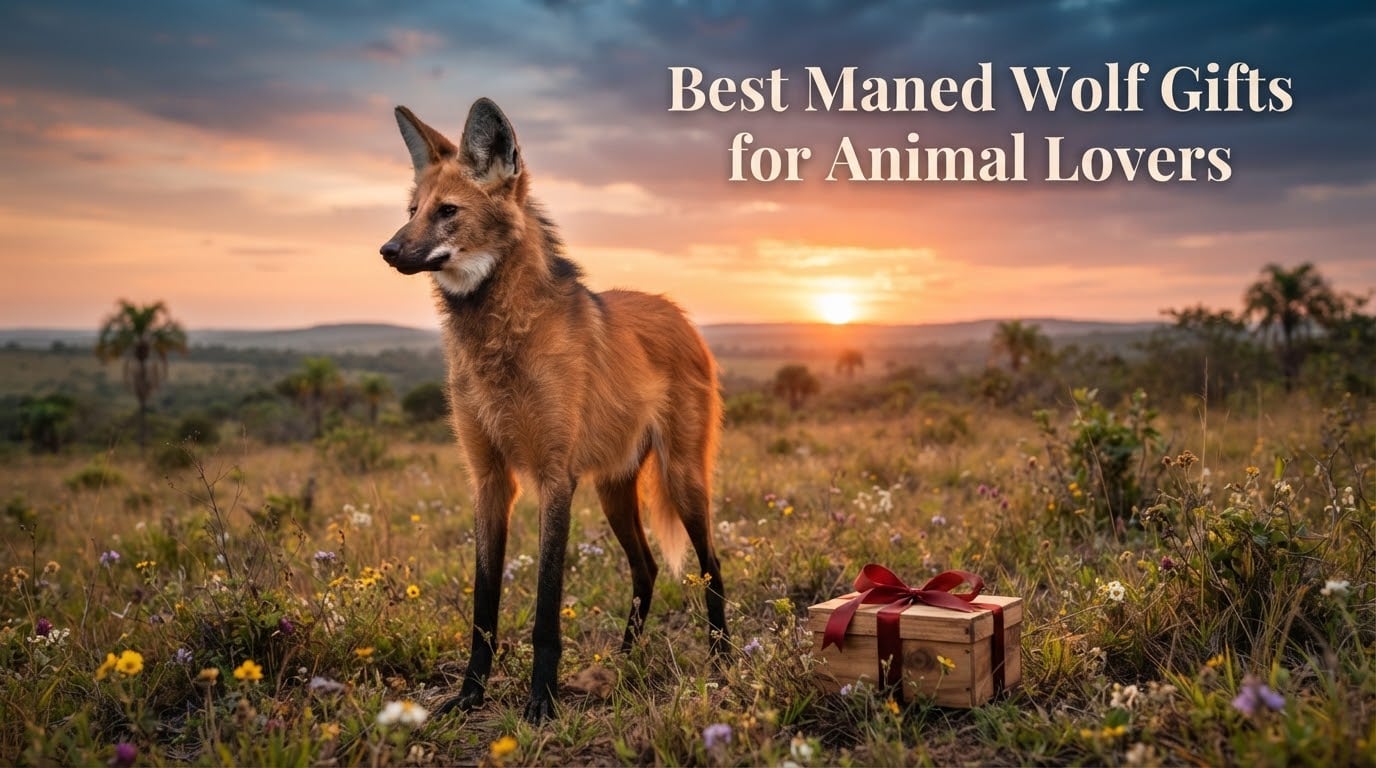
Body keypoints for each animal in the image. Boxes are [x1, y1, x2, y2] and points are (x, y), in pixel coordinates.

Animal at [379, 98, 727, 722]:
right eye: (411, 211)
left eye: (448, 212)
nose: (388, 251)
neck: (500, 342)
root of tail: (677, 310)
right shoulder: (490, 478)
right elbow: (483, 605)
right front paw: (469, 695)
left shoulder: (554, 476)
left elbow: (544, 610)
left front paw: (540, 702)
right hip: (613, 488)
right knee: (646, 567)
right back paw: (624, 662)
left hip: (683, 478)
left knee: (713, 567)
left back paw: (723, 664)